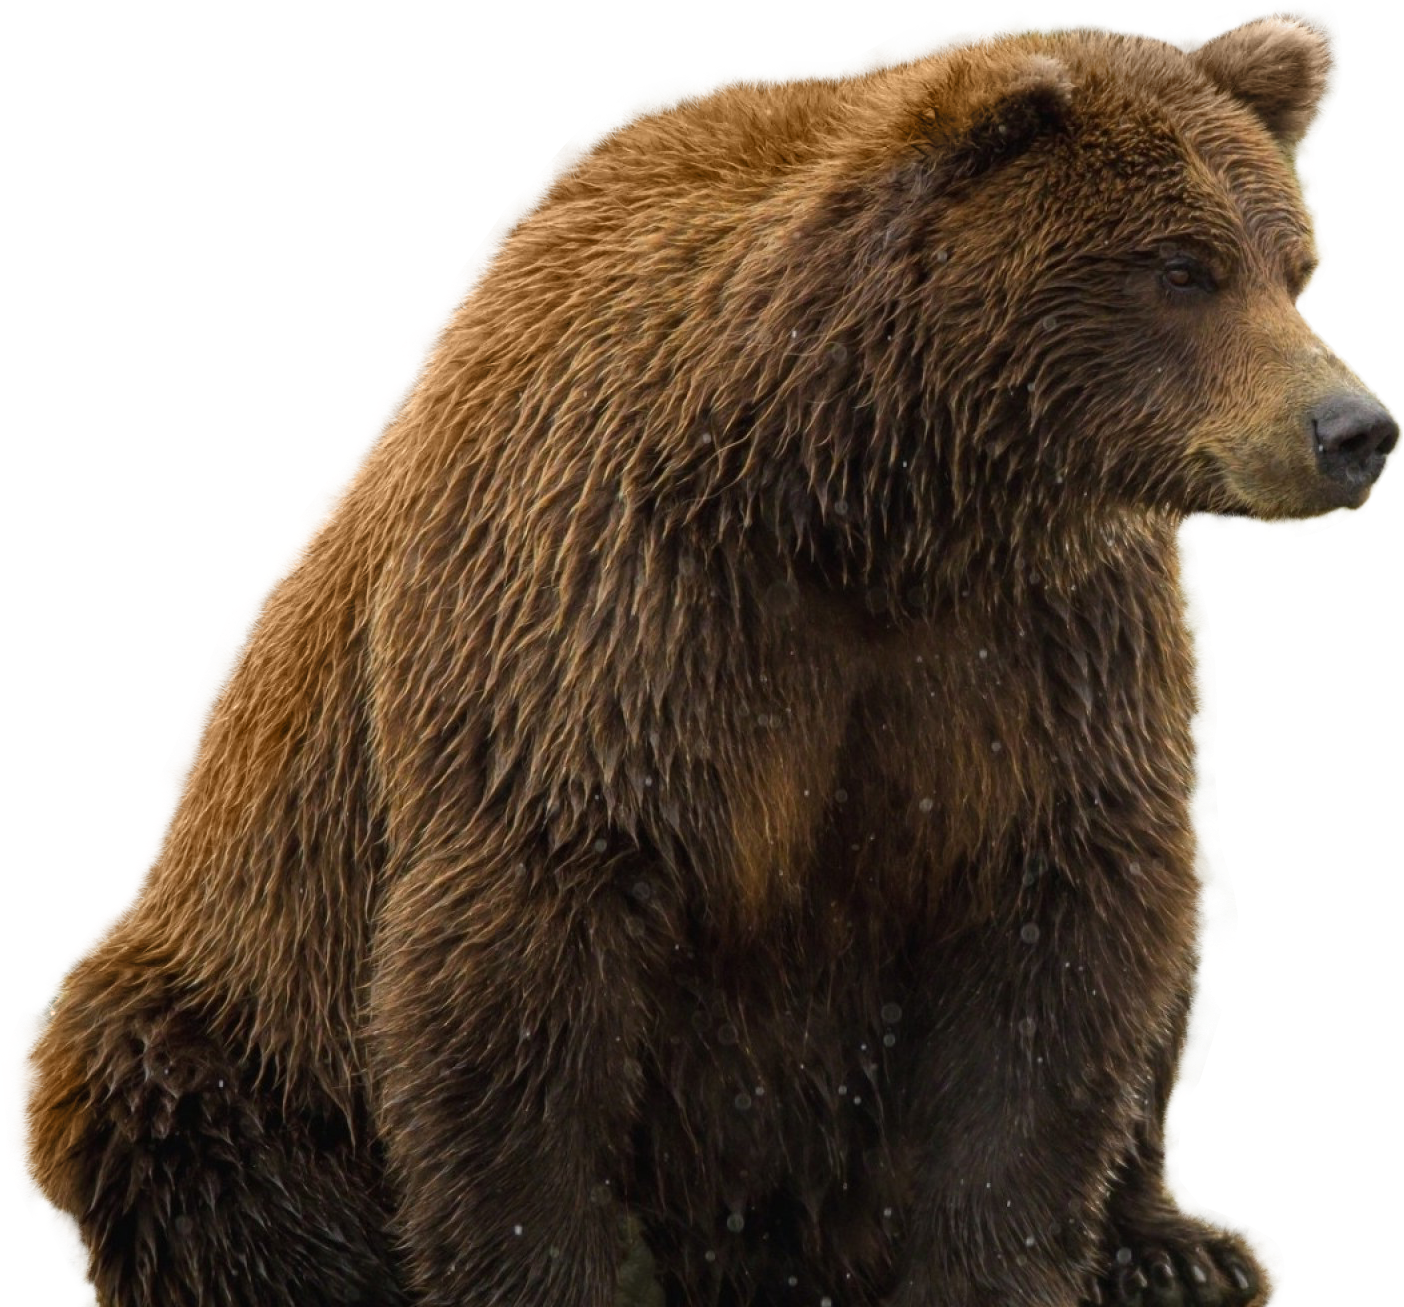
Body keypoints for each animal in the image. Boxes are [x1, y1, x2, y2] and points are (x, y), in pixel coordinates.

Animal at [9, 12, 1396, 1307]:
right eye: (1182, 265)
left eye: (1295, 266)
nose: (1353, 429)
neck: (874, 500)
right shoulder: (609, 620)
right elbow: (526, 978)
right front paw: (548, 1272)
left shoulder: (1041, 650)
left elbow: (1058, 944)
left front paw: (1002, 1263)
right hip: (232, 999)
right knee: (165, 1108)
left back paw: (1186, 1240)